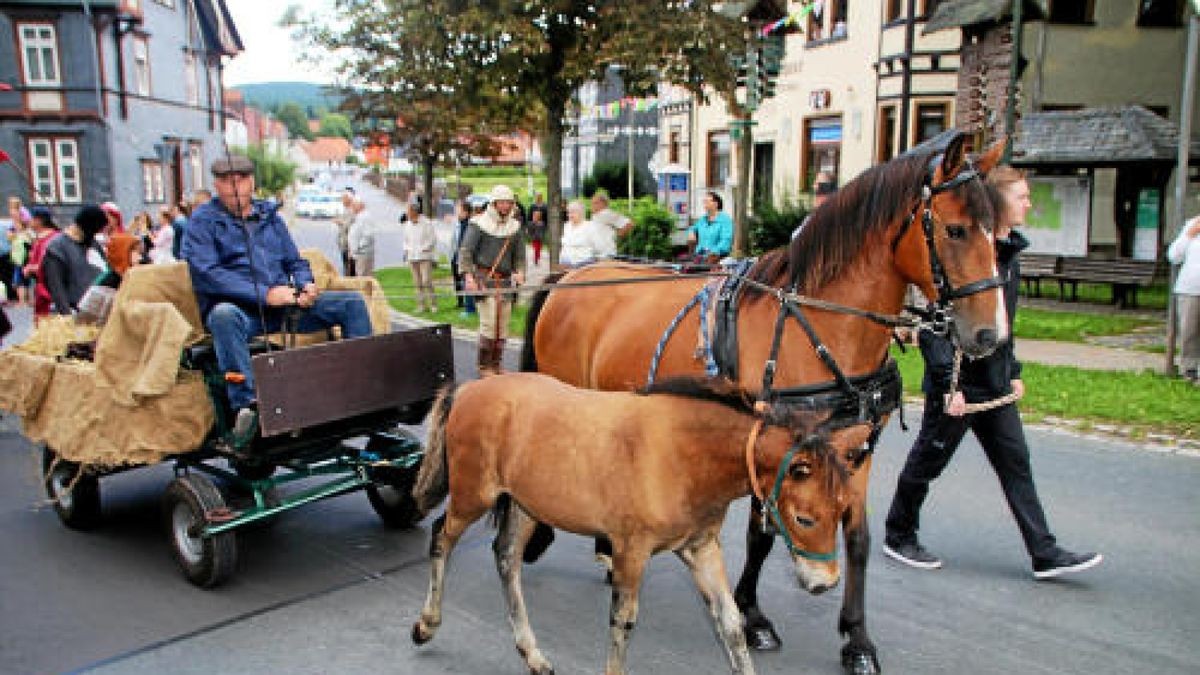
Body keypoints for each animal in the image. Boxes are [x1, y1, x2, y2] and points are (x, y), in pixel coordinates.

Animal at [412, 372, 844, 672]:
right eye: (805, 518)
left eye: (843, 511)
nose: (825, 583)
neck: (682, 456)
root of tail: (469, 388)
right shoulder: (631, 551)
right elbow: (622, 622)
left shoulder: (701, 547)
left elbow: (731, 623)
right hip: (473, 495)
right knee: (440, 540)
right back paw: (426, 624)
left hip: (525, 505)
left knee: (506, 559)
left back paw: (531, 653)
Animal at [520, 133, 1008, 667]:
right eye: (956, 230)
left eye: (1000, 235)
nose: (990, 335)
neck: (818, 330)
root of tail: (569, 277)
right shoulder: (766, 442)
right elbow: (762, 533)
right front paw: (753, 618)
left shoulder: (856, 450)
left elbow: (857, 538)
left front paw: (857, 639)